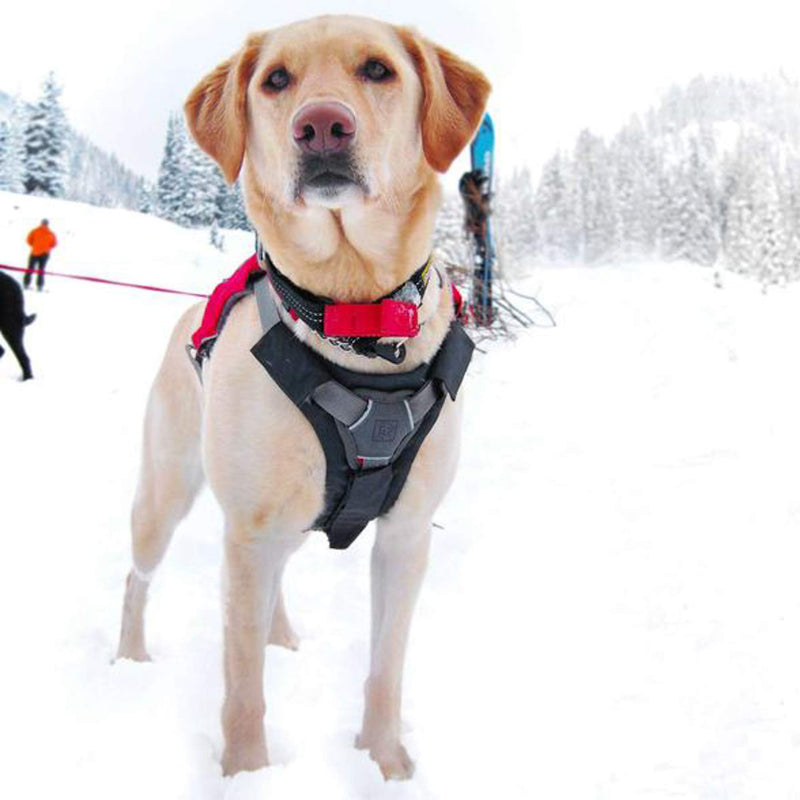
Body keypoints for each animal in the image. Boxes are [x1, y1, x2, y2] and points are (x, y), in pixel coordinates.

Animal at [112, 15, 488, 780]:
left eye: (378, 69)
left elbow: (385, 669)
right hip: (167, 495)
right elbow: (241, 690)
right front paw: (248, 774)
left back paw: (280, 635)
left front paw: (385, 762)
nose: (321, 127)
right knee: (137, 578)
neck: (356, 320)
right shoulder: (248, 534)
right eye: (276, 80)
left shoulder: (406, 536)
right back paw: (130, 658)